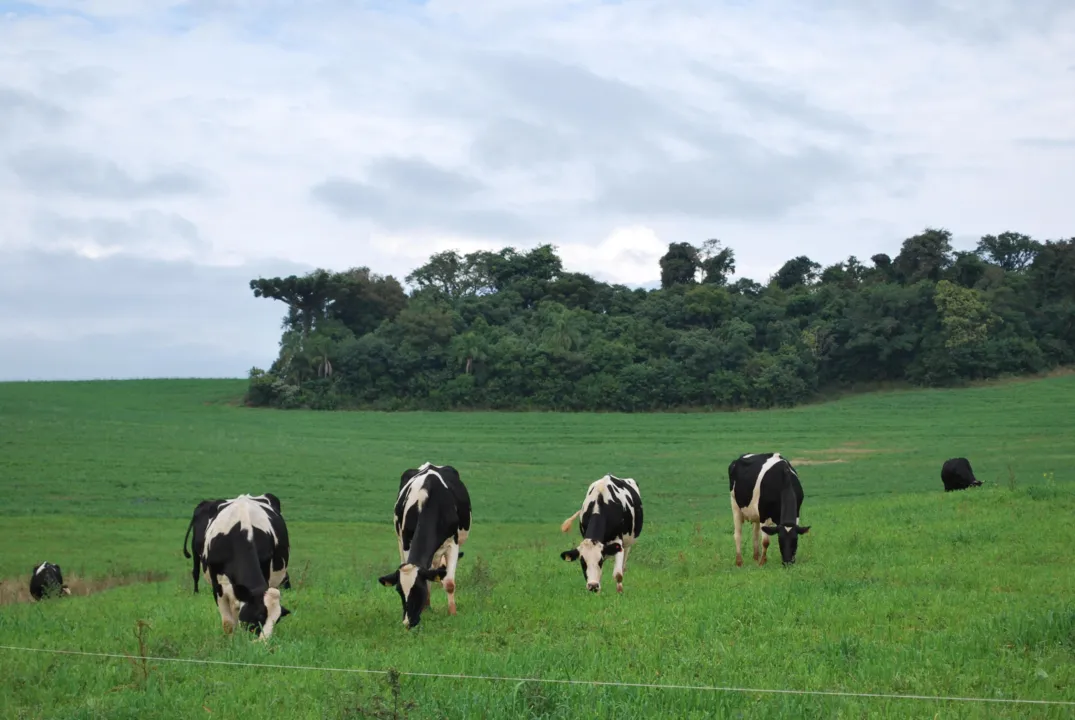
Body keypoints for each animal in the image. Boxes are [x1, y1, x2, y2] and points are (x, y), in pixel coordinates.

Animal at [378, 466, 470, 627]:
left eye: (418, 590)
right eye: (399, 591)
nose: (408, 622)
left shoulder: (453, 544)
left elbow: (449, 583)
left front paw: (453, 613)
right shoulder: (406, 542)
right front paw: (426, 609)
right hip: (400, 541)